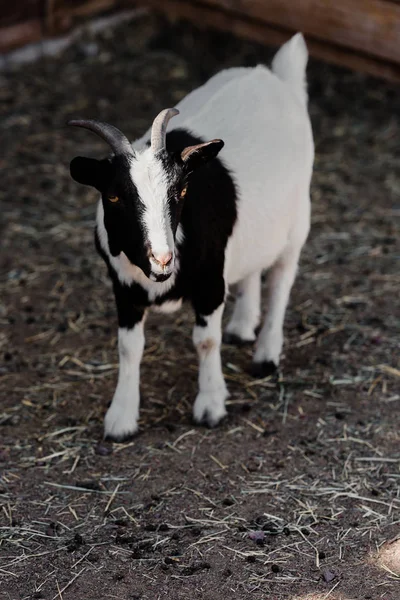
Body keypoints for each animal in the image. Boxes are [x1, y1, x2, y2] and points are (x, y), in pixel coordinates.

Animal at [69, 34, 314, 440]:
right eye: (115, 196)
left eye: (180, 191)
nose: (162, 257)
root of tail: (277, 76)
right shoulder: (122, 286)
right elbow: (128, 347)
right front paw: (121, 418)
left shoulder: (211, 282)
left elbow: (206, 340)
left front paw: (211, 405)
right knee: (252, 266)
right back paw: (243, 325)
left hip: (297, 219)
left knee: (282, 278)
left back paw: (266, 353)